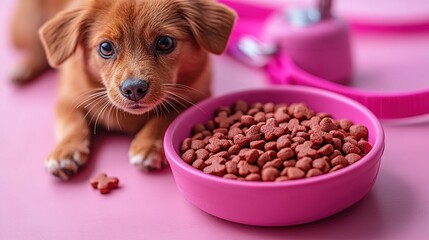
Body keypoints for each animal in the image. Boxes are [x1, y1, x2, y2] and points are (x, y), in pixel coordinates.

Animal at [11, 0, 236, 180]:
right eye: (106, 47)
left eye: (165, 42)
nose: (134, 89)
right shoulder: (68, 99)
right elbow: (72, 123)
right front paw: (66, 151)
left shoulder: (198, 96)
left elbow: (166, 115)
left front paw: (148, 145)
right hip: (27, 22)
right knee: (35, 50)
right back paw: (23, 69)